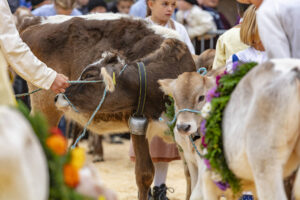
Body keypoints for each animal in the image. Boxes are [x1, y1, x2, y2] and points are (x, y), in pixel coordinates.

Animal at [19, 14, 196, 200]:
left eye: (88, 75)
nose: (60, 95)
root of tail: (36, 23)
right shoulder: (138, 122)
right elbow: (144, 174)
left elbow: (189, 174)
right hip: (44, 107)